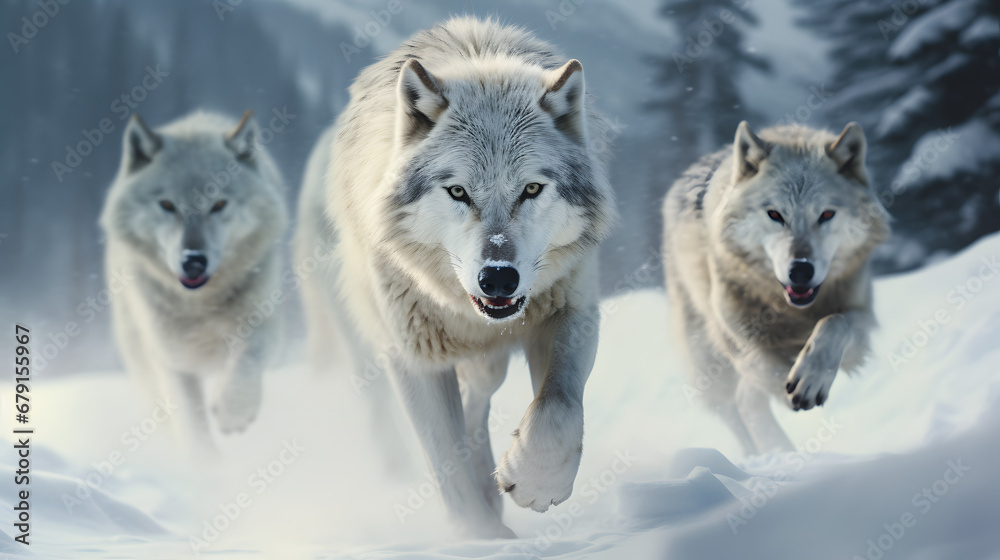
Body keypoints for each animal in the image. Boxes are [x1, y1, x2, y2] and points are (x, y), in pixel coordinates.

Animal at [100, 110, 289, 449]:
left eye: (218, 204)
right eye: (167, 205)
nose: (193, 261)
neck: (201, 304)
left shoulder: (266, 327)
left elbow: (248, 357)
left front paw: (233, 410)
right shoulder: (174, 363)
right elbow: (195, 432)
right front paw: (207, 462)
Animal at [294, 17, 617, 538]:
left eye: (531, 189)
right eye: (459, 192)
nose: (498, 279)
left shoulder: (573, 311)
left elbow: (558, 407)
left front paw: (534, 482)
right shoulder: (414, 357)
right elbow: (444, 459)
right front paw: (481, 536)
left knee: (478, 394)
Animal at [662, 121, 889, 455]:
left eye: (826, 214)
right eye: (775, 214)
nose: (801, 270)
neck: (791, 311)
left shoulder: (860, 324)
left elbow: (834, 323)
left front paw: (809, 378)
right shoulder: (740, 341)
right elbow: (764, 374)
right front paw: (793, 389)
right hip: (707, 359)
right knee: (736, 407)